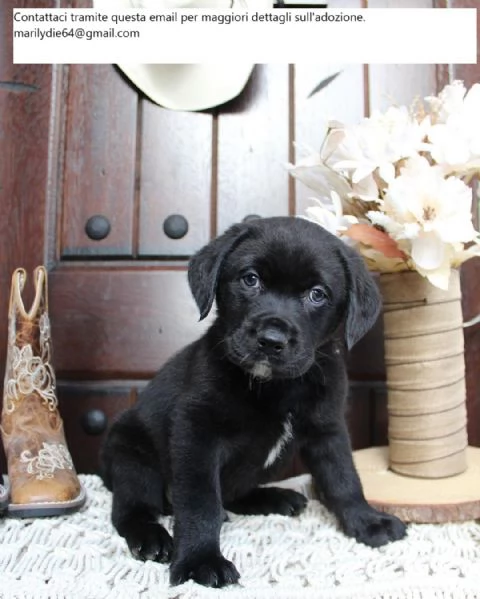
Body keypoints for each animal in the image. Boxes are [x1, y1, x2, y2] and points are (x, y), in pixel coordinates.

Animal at [100, 217, 404, 592]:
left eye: (317, 294)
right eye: (250, 279)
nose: (271, 341)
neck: (276, 386)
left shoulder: (328, 430)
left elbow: (344, 479)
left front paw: (367, 521)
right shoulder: (196, 433)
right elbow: (200, 501)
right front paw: (200, 559)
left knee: (232, 494)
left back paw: (275, 497)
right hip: (132, 457)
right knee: (131, 509)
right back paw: (151, 537)